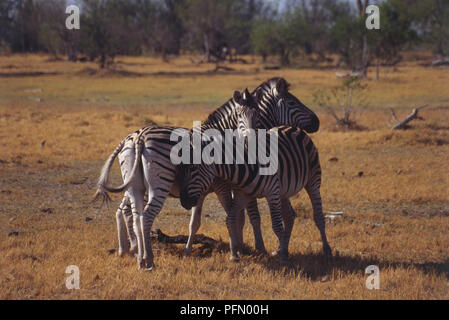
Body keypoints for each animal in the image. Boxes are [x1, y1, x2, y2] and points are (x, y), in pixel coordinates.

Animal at [179, 126, 332, 264]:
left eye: (193, 168)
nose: (184, 202)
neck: (243, 167)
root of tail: (295, 128)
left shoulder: (272, 192)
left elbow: (276, 226)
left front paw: (283, 258)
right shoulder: (242, 194)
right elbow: (230, 220)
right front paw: (233, 255)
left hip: (313, 180)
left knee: (318, 216)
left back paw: (326, 251)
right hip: (283, 191)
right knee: (289, 216)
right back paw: (281, 248)